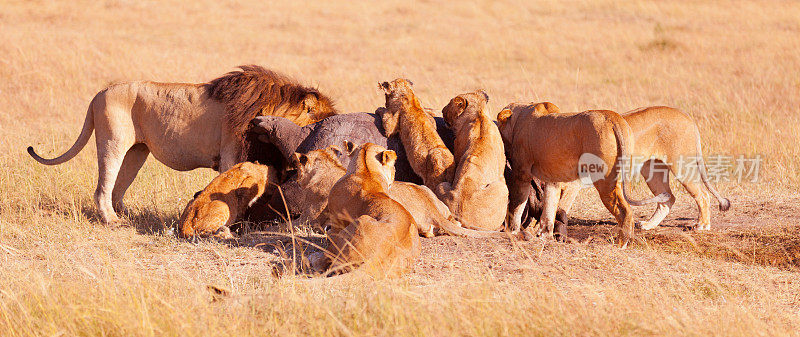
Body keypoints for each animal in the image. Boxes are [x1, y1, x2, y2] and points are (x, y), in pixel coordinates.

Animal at [26, 65, 336, 223]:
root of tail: (99, 93)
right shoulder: (231, 154)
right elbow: (233, 188)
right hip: (113, 141)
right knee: (103, 187)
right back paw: (111, 220)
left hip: (137, 151)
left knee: (119, 186)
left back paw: (127, 216)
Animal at [308, 142, 418, 276]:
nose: (394, 173)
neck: (366, 171)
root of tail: (377, 257)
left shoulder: (336, 220)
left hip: (360, 222)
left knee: (328, 261)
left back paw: (312, 258)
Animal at [434, 90, 510, 230]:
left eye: (450, 103)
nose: (442, 110)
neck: (478, 115)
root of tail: (461, 219)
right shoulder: (501, 175)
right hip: (502, 188)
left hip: (442, 185)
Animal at [500, 101, 668, 245]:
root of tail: (614, 118)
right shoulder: (552, 178)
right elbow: (550, 205)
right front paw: (544, 235)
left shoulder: (522, 173)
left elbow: (517, 204)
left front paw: (513, 231)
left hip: (604, 179)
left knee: (625, 210)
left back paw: (621, 244)